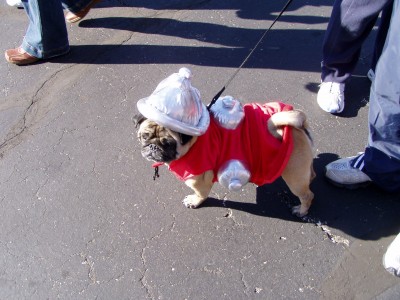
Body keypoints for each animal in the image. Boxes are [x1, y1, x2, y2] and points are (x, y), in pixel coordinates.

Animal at [134, 101, 316, 218]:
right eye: (144, 136)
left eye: (168, 143)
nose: (153, 147)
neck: (193, 142)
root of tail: (295, 126)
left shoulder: (199, 182)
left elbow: (200, 194)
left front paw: (194, 201)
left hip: (294, 176)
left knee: (307, 195)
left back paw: (301, 211)